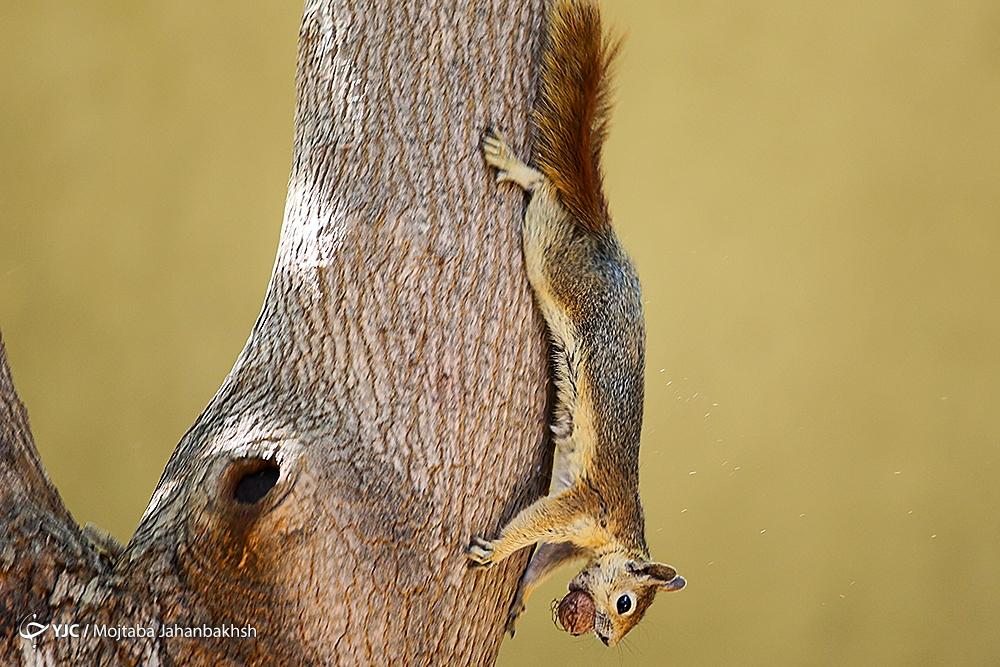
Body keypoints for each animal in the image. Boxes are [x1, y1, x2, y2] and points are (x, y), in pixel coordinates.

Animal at [462, 0, 684, 648]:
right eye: (627, 602)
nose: (607, 639)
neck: (618, 535)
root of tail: (600, 233)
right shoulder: (583, 503)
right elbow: (534, 523)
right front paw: (494, 550)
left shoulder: (570, 540)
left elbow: (541, 561)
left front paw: (518, 599)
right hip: (550, 257)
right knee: (545, 195)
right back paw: (516, 167)